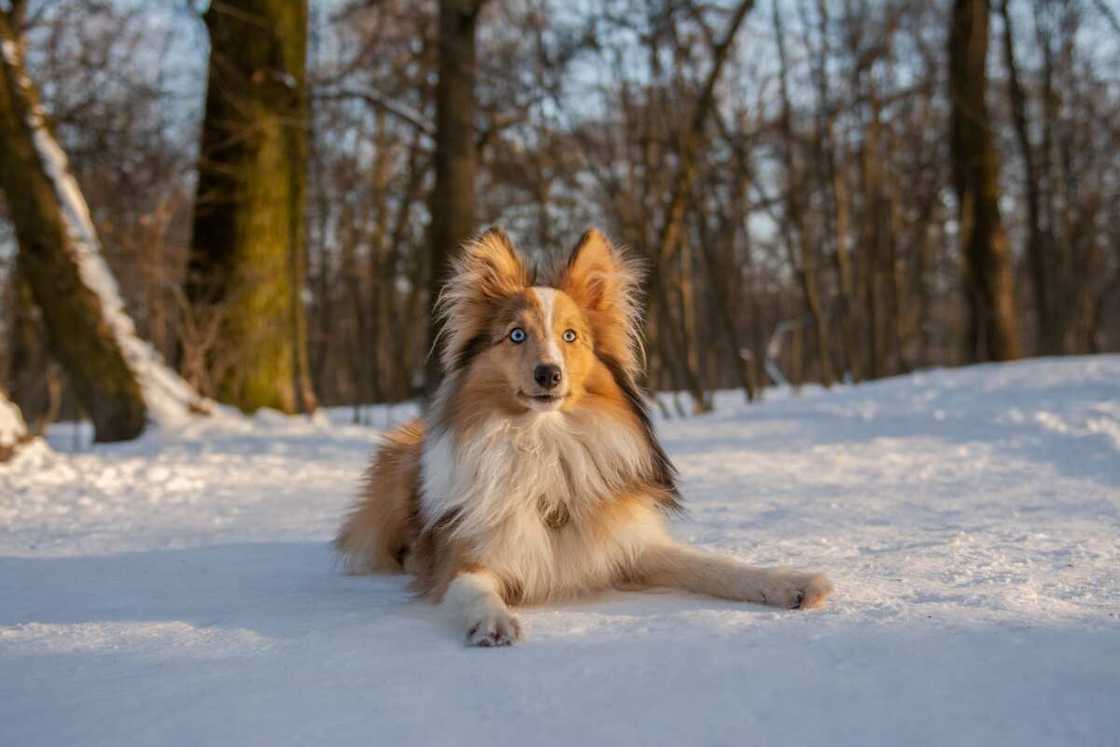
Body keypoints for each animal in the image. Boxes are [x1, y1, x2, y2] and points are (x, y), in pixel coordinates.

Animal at [333, 228, 833, 649]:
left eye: (570, 336)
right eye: (516, 334)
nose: (548, 374)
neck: (543, 443)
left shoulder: (629, 542)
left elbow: (717, 566)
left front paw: (791, 583)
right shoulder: (466, 558)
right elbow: (473, 590)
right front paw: (493, 621)